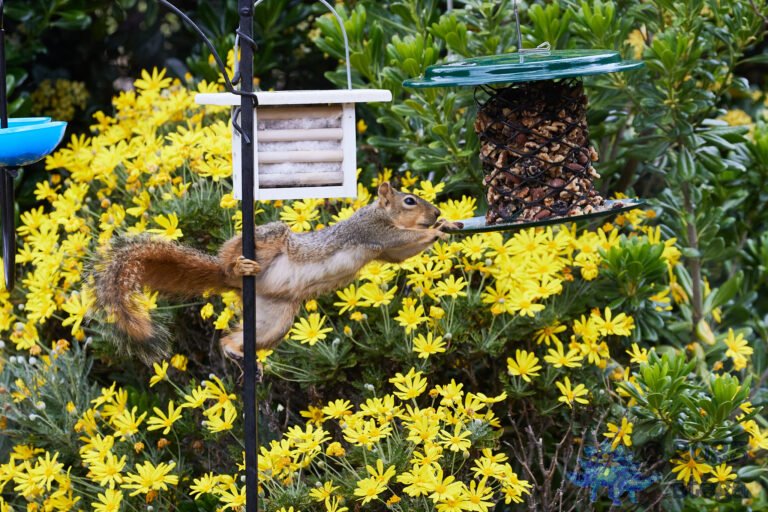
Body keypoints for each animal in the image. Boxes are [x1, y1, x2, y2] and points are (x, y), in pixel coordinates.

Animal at [93, 182, 462, 363]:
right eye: (410, 201)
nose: (436, 212)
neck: (380, 214)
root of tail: (228, 279)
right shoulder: (375, 232)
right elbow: (404, 240)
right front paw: (438, 229)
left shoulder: (386, 250)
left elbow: (401, 255)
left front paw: (445, 225)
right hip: (269, 239)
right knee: (229, 260)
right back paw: (237, 265)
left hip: (275, 319)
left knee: (233, 338)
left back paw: (236, 351)